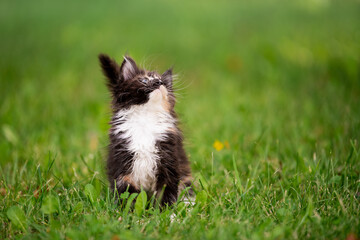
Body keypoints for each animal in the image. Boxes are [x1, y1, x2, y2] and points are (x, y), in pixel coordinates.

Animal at [98, 53, 193, 205]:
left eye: (162, 82)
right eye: (144, 80)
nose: (158, 83)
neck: (145, 119)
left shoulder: (168, 159)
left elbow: (166, 193)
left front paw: (167, 211)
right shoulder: (122, 164)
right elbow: (129, 195)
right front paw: (129, 212)